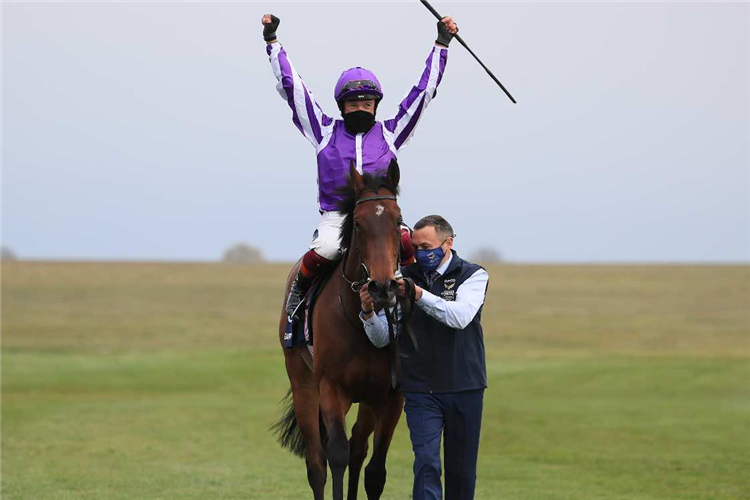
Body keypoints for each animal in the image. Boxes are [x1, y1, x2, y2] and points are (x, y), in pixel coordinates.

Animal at [274, 160, 406, 500]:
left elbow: (374, 469)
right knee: (316, 462)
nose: (382, 287)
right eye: (358, 224)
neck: (359, 326)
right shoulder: (332, 388)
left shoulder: (391, 394)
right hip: (304, 384)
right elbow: (336, 455)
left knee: (358, 447)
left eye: (398, 220)